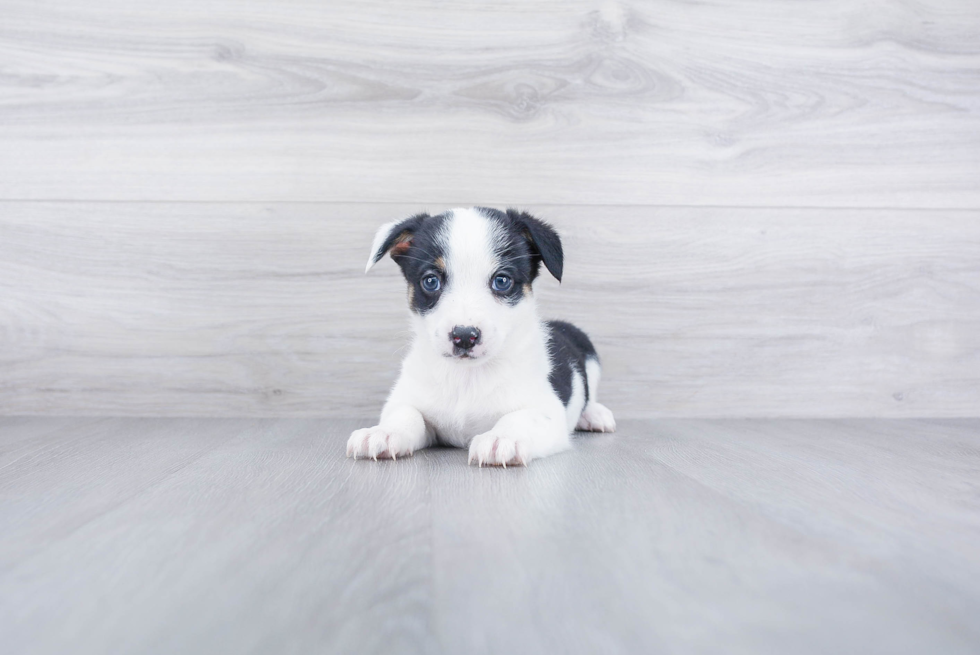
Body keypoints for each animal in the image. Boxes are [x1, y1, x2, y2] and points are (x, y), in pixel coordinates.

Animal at [348, 205, 616, 466]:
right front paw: (383, 432)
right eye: (431, 281)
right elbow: (405, 413)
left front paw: (503, 438)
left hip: (589, 355)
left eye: (502, 281)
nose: (465, 336)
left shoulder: (546, 409)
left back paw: (594, 414)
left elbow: (520, 417)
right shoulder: (408, 400)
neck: (467, 377)